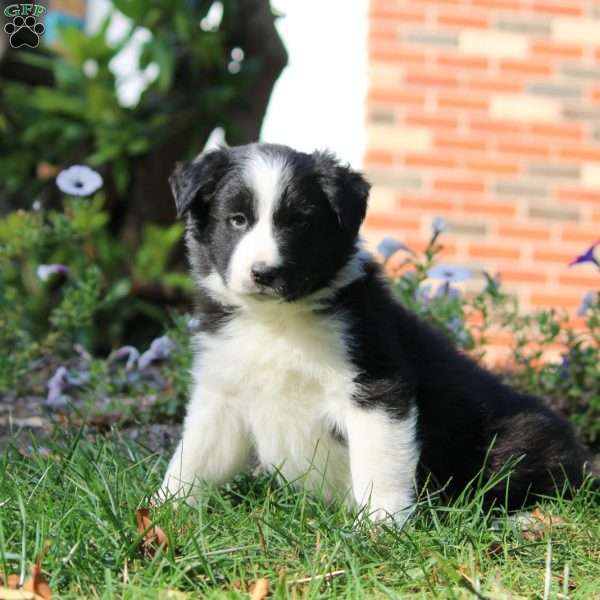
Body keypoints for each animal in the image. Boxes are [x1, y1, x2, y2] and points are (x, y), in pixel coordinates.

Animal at [159, 142, 596, 524]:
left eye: (300, 221)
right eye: (237, 219)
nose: (264, 273)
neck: (277, 321)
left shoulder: (376, 387)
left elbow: (378, 463)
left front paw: (380, 527)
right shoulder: (224, 392)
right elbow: (195, 456)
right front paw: (163, 511)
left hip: (517, 437)